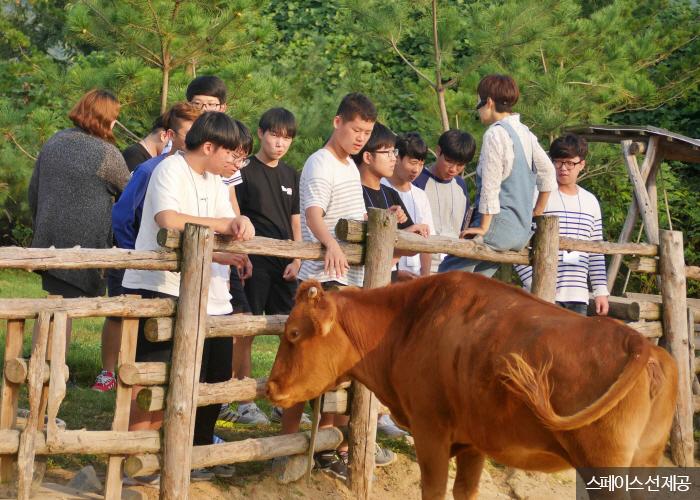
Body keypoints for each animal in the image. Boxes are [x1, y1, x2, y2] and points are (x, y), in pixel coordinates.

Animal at [266, 274, 680, 500]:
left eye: (293, 333)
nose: (270, 387)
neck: (408, 323)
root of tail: (638, 343)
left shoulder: (430, 431)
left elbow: (433, 489)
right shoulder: (474, 442)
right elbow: (465, 490)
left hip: (605, 469)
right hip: (644, 462)